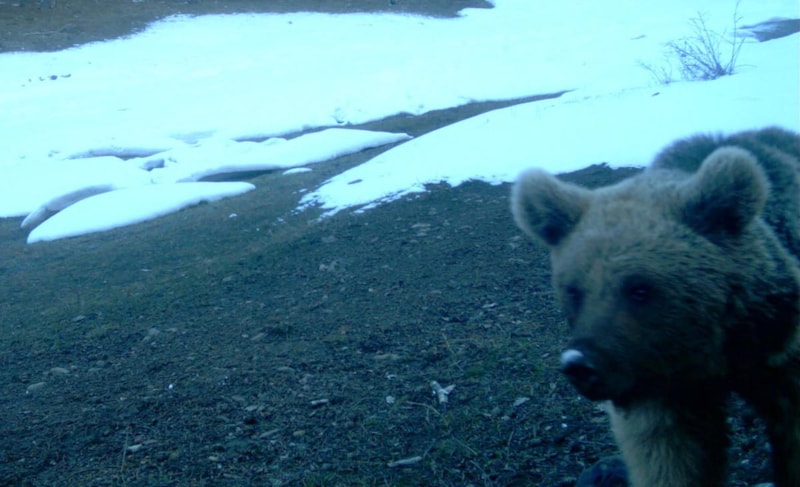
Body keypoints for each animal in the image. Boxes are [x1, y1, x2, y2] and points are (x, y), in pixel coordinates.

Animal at [510, 127, 800, 487]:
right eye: (574, 291)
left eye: (639, 288)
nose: (581, 365)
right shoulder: (656, 383)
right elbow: (669, 455)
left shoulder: (781, 355)